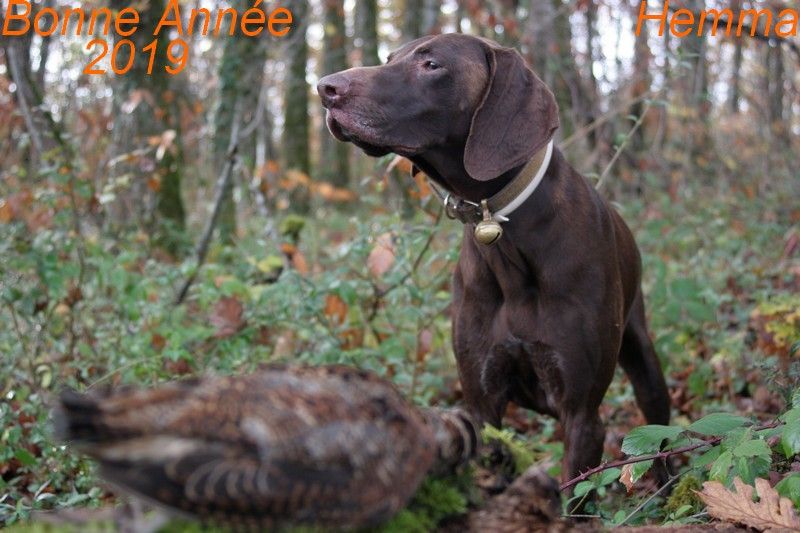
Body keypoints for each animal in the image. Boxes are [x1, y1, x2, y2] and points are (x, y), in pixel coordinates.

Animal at [316, 33, 672, 482]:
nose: (325, 88)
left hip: (645, 362)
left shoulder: (582, 414)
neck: (508, 238)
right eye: (389, 58)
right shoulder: (483, 402)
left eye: (431, 64)